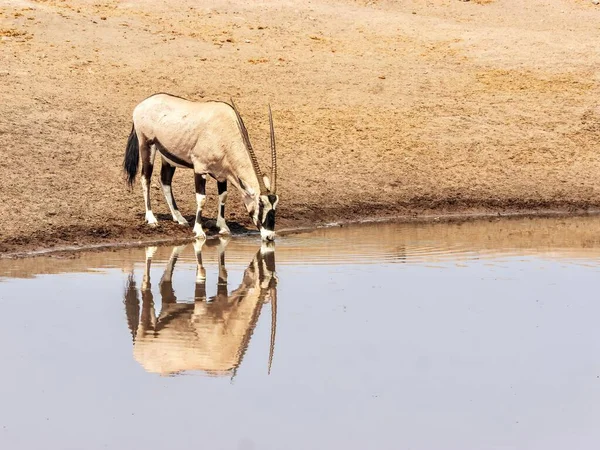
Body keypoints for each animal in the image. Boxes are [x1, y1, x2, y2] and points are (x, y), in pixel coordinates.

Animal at [123, 93, 282, 241]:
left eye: (275, 204)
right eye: (261, 204)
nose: (269, 236)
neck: (224, 130)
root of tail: (142, 104)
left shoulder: (222, 175)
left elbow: (223, 196)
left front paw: (223, 227)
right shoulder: (200, 169)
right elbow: (201, 199)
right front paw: (199, 231)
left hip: (168, 156)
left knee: (165, 181)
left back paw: (179, 218)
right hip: (147, 146)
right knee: (146, 178)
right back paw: (151, 218)